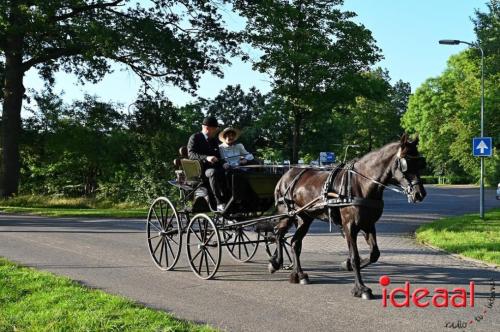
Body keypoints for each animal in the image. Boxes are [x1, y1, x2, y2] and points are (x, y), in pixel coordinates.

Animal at [270, 134, 426, 300]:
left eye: (420, 163)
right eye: (405, 163)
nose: (420, 193)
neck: (362, 183)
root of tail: (286, 175)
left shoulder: (368, 224)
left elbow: (374, 254)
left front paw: (347, 265)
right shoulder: (349, 227)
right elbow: (354, 256)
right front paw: (360, 288)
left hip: (305, 218)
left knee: (294, 242)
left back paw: (298, 275)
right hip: (287, 215)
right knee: (278, 234)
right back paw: (276, 262)